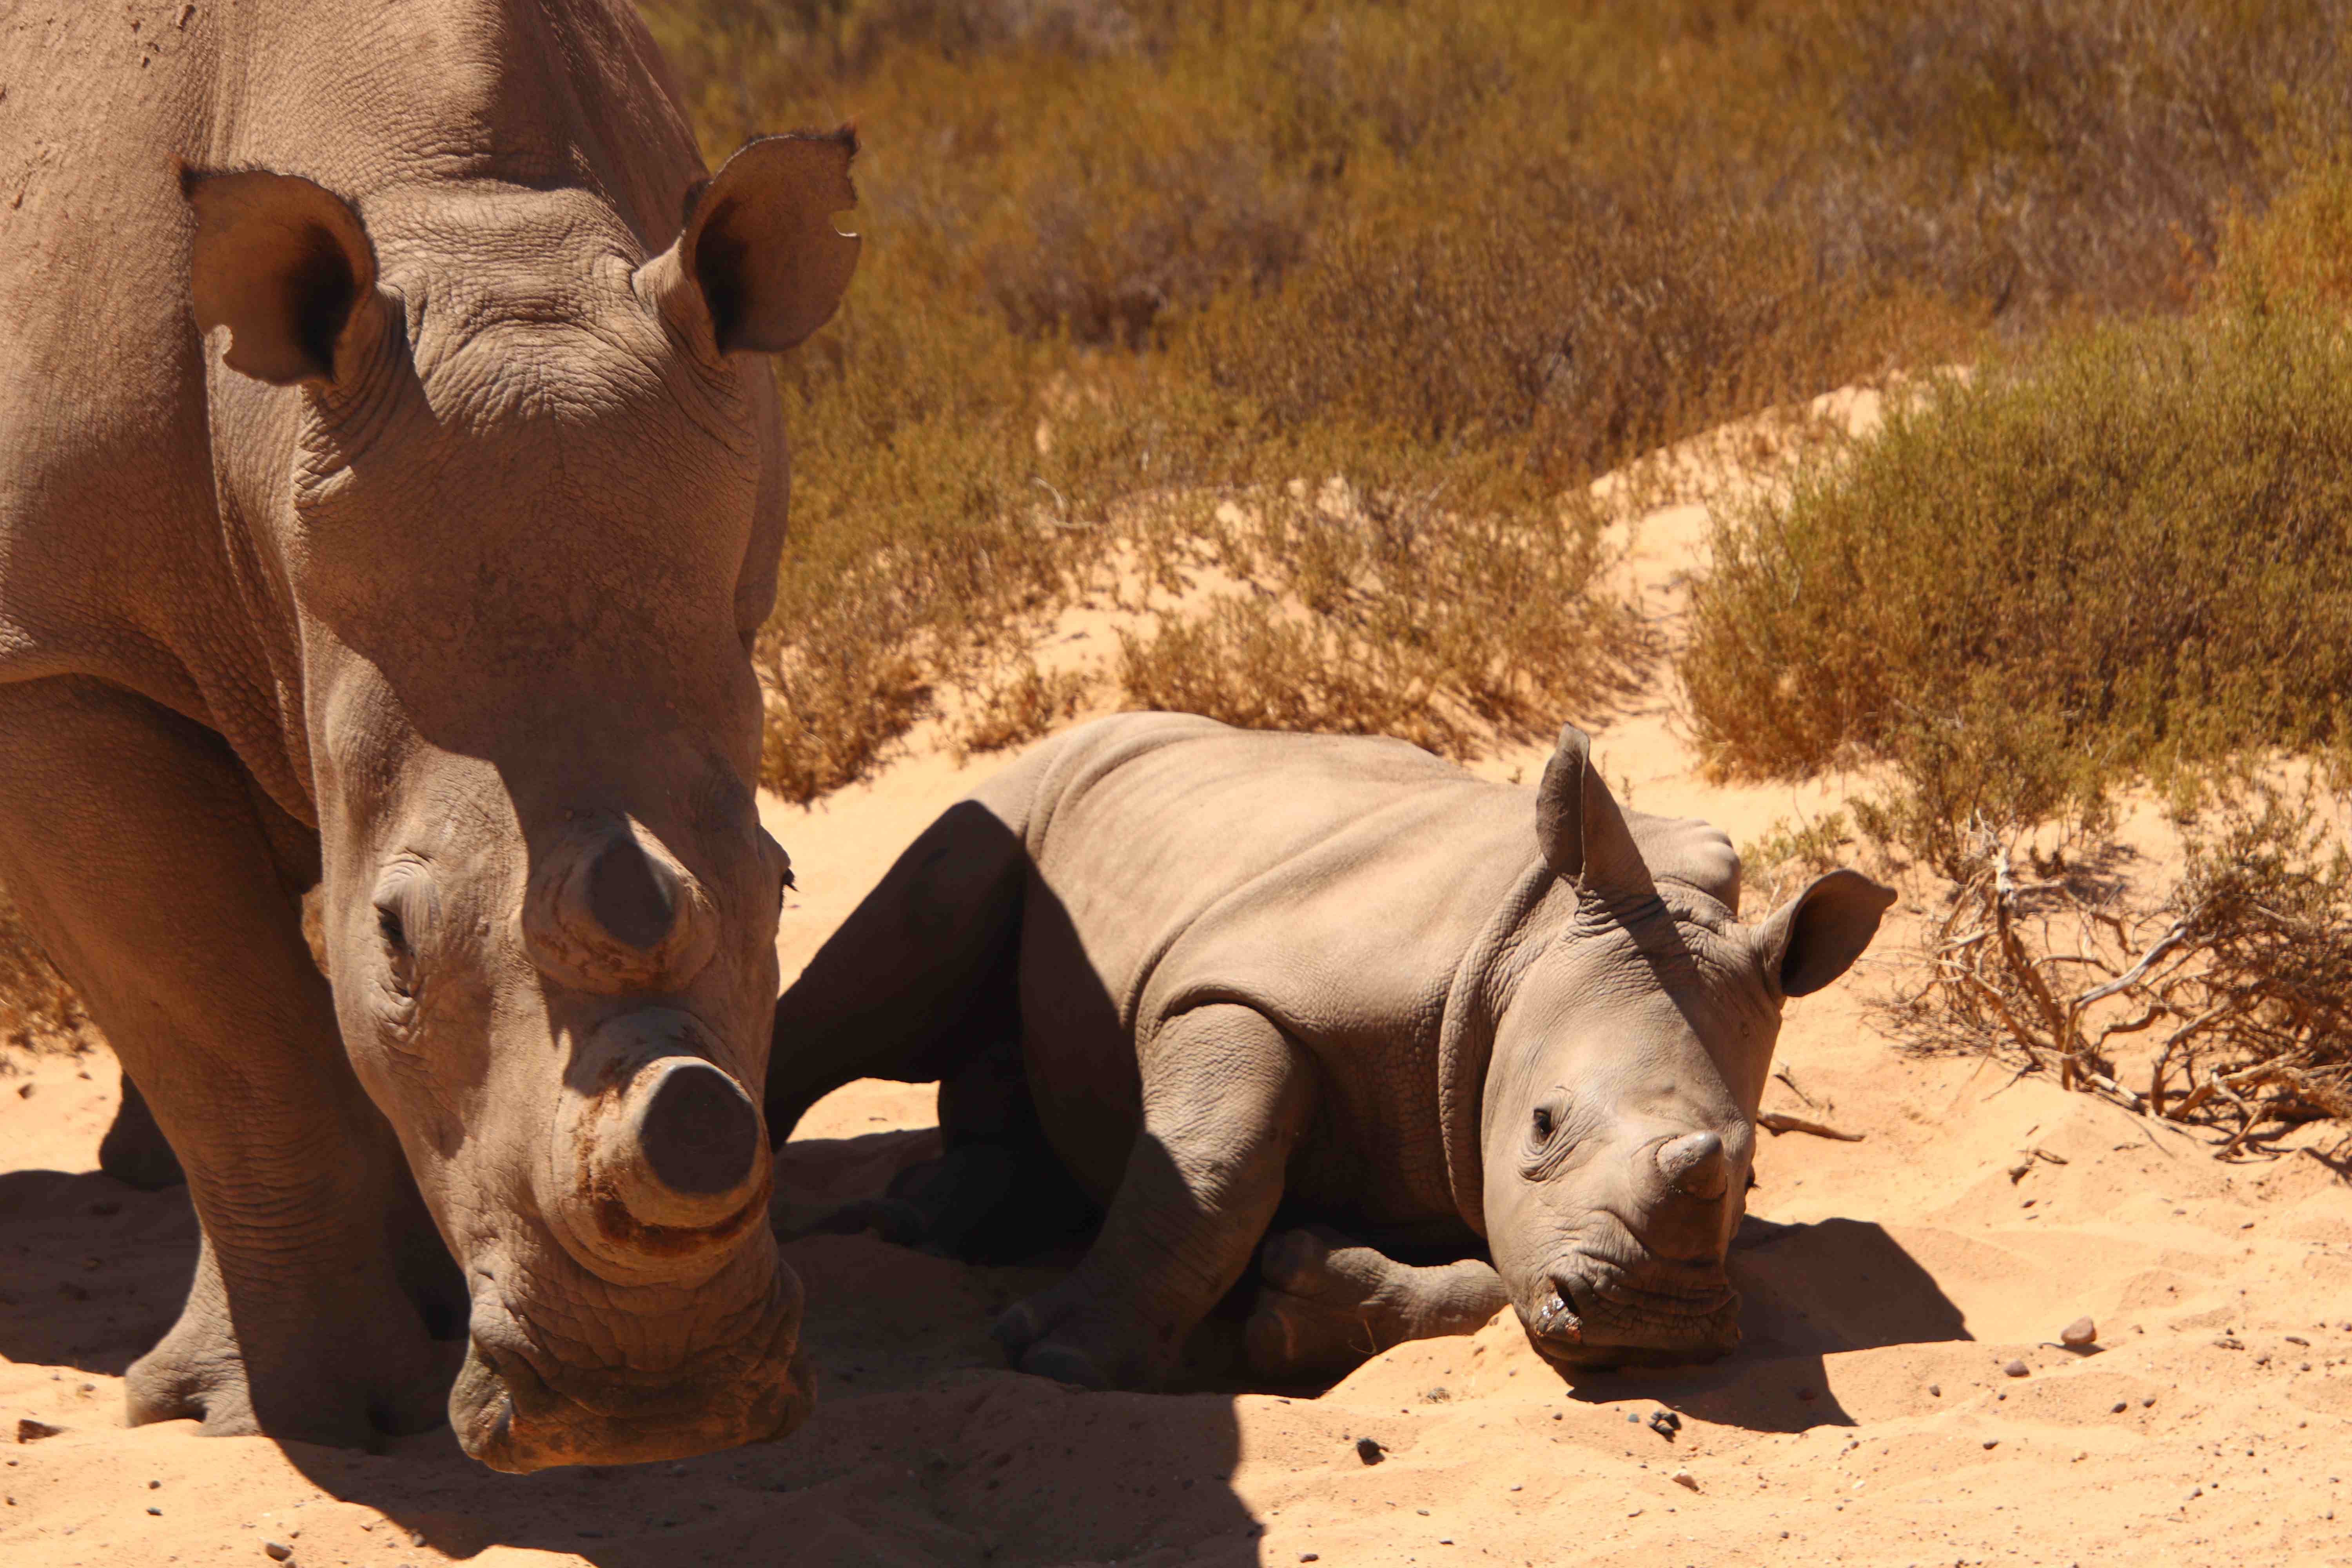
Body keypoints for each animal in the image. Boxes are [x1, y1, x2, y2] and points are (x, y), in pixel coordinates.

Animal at [0, 1, 857, 1469]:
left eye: (784, 887)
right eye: (396, 937)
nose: (654, 1403)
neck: (467, 224)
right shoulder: (56, 657)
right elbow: (233, 1037)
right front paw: (309, 1418)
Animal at [767, 713, 1894, 1386]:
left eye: (1750, 1175)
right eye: (1542, 1123)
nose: (1655, 1322)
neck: (1529, 948)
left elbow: (1498, 1272)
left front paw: (1301, 1304)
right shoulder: (1246, 989)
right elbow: (1210, 1171)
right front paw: (1062, 1359)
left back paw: (920, 1223)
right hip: (1020, 792)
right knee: (891, 974)